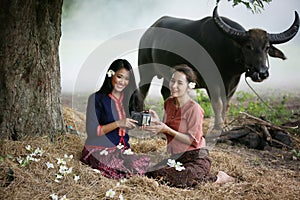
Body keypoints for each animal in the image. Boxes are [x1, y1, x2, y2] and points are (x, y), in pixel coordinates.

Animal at [138, 6, 298, 133]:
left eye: (267, 47)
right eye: (248, 46)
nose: (262, 73)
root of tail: (149, 31)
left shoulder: (233, 83)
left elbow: (226, 103)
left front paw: (225, 125)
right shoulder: (212, 81)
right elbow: (217, 103)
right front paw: (218, 126)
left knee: (166, 92)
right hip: (145, 69)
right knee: (143, 89)